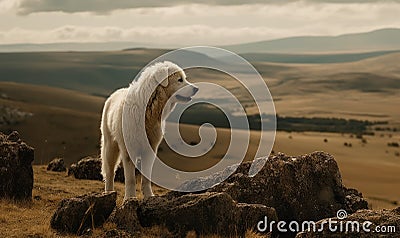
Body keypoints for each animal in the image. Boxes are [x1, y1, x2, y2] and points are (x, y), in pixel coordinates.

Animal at [100, 61, 198, 199]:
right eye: (180, 80)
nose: (196, 88)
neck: (148, 109)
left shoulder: (150, 149)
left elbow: (146, 178)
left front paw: (149, 196)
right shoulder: (129, 150)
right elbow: (130, 179)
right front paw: (129, 198)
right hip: (110, 146)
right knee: (109, 172)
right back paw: (108, 193)